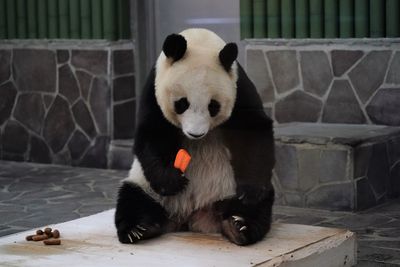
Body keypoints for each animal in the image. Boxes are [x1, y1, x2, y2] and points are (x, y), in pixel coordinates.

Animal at [115, 28, 276, 246]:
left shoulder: (240, 88)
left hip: (228, 187)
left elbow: (253, 129)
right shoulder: (153, 90)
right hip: (145, 185)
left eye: (213, 106)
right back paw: (139, 229)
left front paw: (250, 191)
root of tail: (190, 217)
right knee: (133, 199)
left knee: (258, 205)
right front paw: (171, 180)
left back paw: (239, 226)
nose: (195, 133)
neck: (199, 39)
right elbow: (152, 134)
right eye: (182, 103)